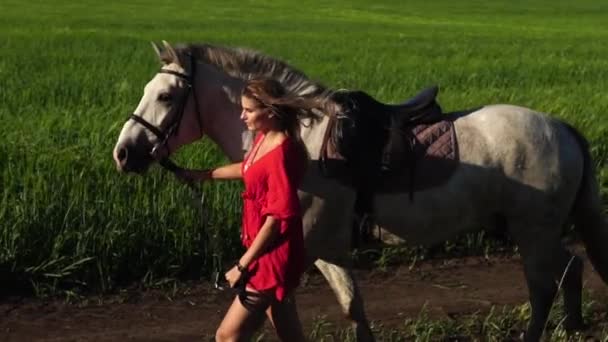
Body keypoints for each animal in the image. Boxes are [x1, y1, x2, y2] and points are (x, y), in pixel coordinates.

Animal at [114, 41, 608, 340]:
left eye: (166, 96)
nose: (123, 152)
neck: (301, 137)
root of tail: (562, 127)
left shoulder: (303, 251)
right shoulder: (328, 252)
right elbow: (353, 308)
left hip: (533, 233)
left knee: (543, 285)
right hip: (531, 231)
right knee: (571, 269)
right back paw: (572, 327)